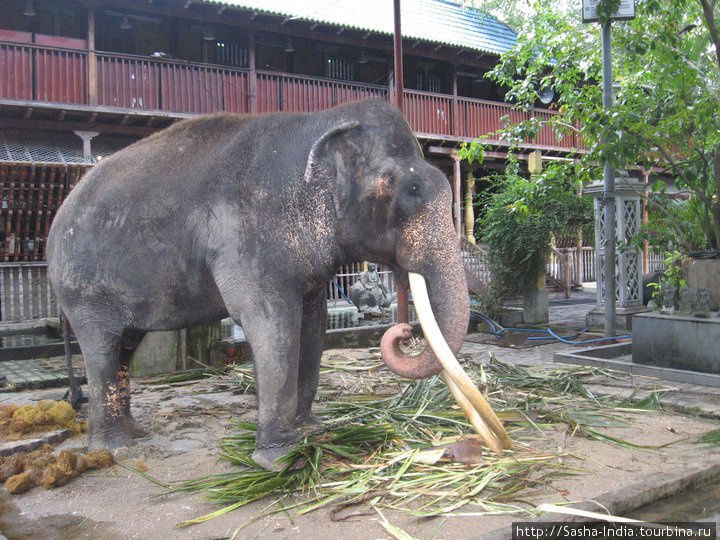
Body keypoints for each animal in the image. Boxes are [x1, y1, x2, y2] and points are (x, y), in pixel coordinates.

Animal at [46, 99, 472, 470]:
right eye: (410, 191)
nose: (403, 332)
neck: (320, 120)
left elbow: (312, 324)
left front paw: (311, 430)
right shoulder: (245, 235)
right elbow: (271, 322)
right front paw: (279, 459)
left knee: (125, 345)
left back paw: (136, 434)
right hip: (83, 289)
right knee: (102, 346)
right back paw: (116, 449)